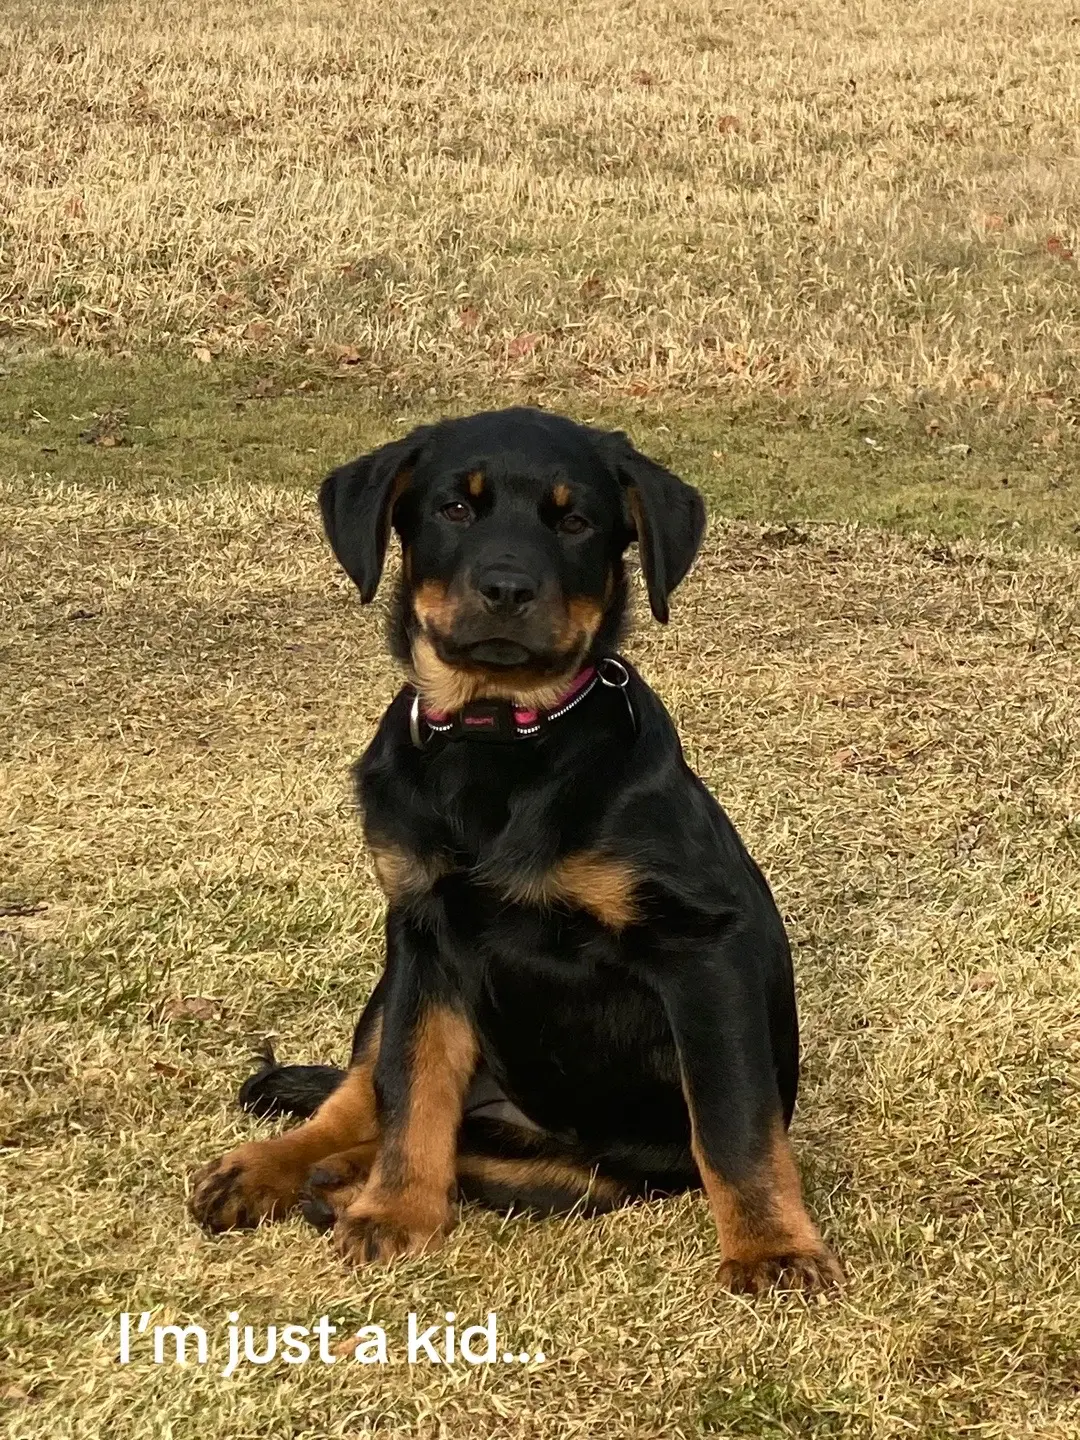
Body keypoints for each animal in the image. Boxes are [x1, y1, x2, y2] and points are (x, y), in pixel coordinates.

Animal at [188, 406, 846, 1296]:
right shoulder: (425, 934)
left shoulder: (704, 945)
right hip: (396, 982)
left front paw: (772, 1249)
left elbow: (732, 1118)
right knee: (368, 1093)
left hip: (596, 1171)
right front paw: (394, 1212)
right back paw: (278, 1168)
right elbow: (412, 1087)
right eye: (454, 509)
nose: (506, 589)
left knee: (488, 1153)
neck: (501, 736)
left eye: (575, 522)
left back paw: (339, 1180)